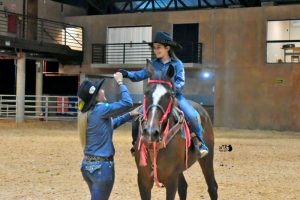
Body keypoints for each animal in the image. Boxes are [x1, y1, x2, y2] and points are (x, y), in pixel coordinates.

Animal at [134, 61, 218, 200]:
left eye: (169, 95)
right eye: (146, 93)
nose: (150, 131)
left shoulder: (171, 180)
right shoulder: (143, 180)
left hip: (207, 159)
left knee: (212, 187)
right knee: (183, 187)